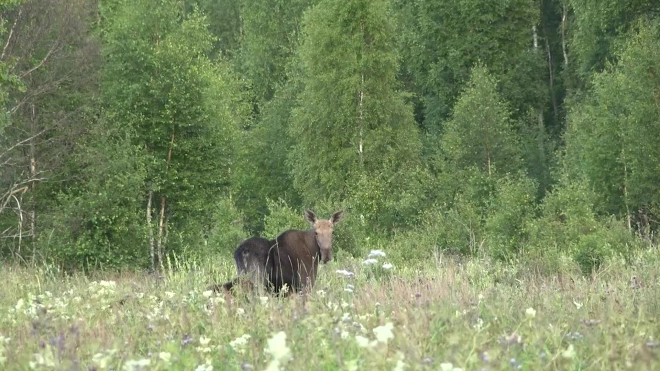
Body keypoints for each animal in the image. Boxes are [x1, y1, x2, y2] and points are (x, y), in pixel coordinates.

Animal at [213, 211, 346, 298]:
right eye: (316, 232)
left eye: (332, 232)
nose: (326, 254)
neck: (313, 253)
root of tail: (242, 251)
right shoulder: (305, 284)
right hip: (256, 280)